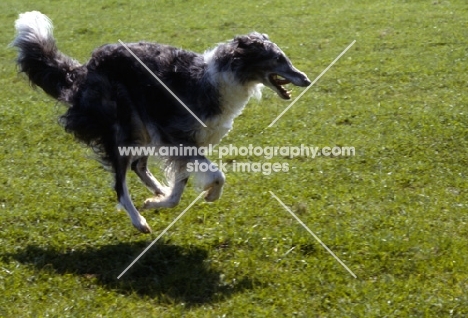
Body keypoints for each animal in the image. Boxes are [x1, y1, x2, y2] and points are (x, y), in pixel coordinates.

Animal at [11, 11, 310, 232]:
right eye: (278, 59)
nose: (306, 79)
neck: (218, 78)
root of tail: (85, 68)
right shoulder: (176, 138)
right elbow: (218, 175)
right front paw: (210, 195)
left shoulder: (188, 144)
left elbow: (178, 192)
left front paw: (158, 201)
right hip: (123, 129)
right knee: (120, 185)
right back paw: (138, 221)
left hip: (142, 129)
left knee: (138, 166)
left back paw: (156, 192)